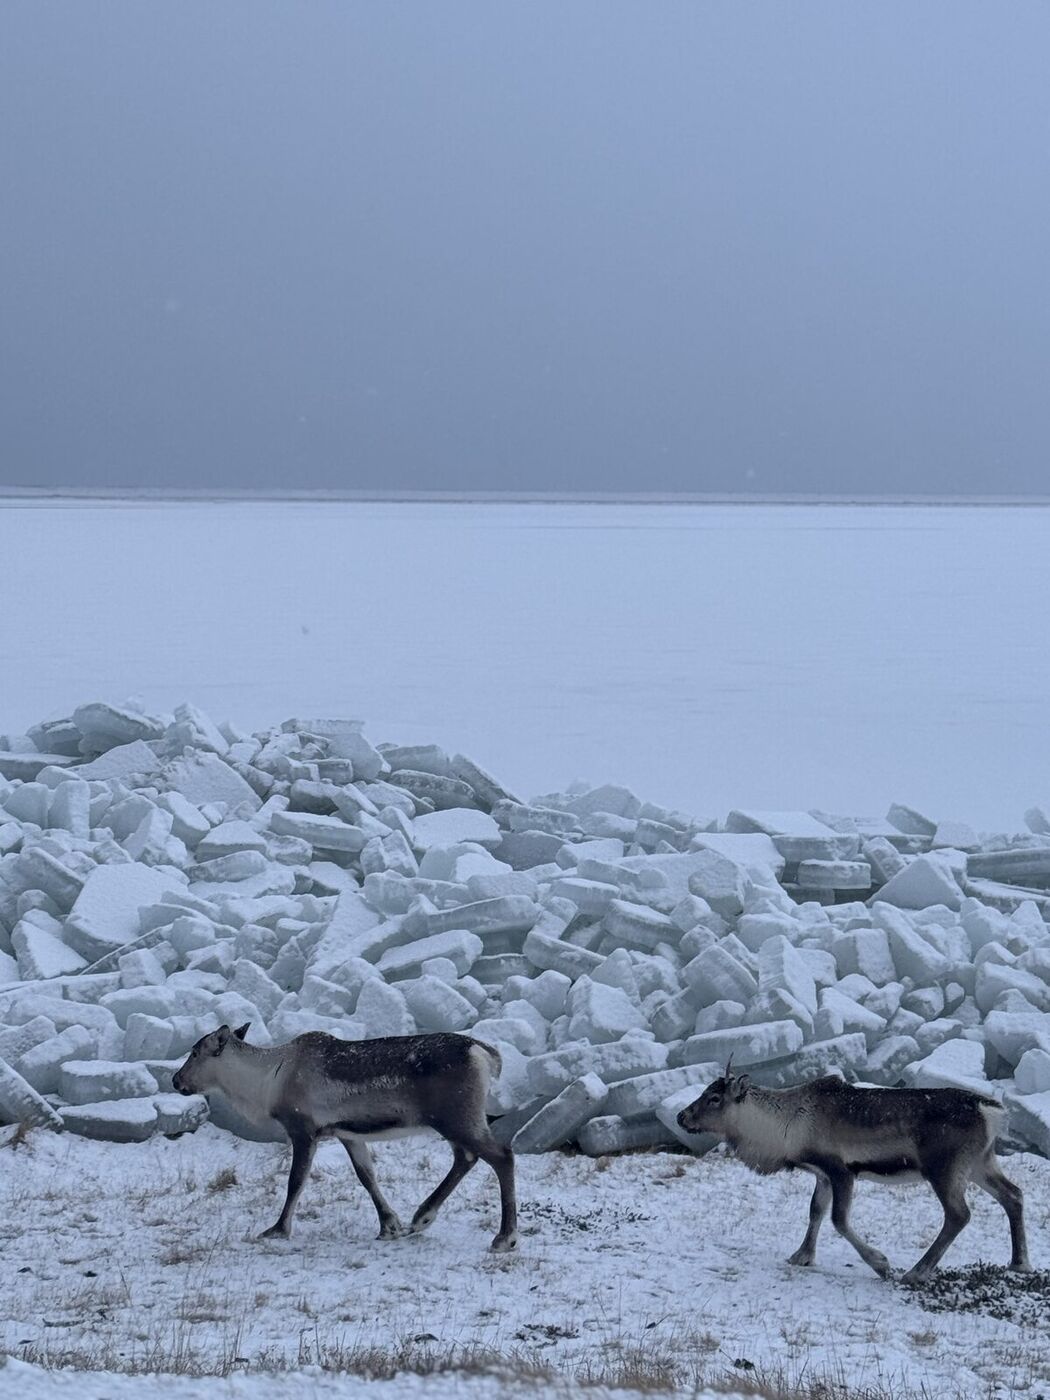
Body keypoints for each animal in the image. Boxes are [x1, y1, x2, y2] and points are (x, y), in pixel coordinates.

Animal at [172, 1024, 517, 1252]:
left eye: (195, 1052)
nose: (176, 1080)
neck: (267, 1081)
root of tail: (486, 1054)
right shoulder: (347, 1134)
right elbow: (367, 1177)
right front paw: (389, 1226)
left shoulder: (303, 1129)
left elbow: (295, 1182)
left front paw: (278, 1229)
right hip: (456, 1121)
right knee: (466, 1157)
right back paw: (422, 1217)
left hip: (456, 1118)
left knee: (501, 1155)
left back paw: (505, 1238)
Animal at [677, 1067, 1030, 1284]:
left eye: (714, 1098)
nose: (682, 1116)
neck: (784, 1131)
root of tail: (991, 1112)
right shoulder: (821, 1174)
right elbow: (815, 1211)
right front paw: (802, 1256)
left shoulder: (841, 1170)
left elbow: (839, 1219)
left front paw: (880, 1263)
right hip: (980, 1163)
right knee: (1013, 1194)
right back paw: (1019, 1262)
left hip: (944, 1167)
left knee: (959, 1214)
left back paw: (916, 1272)